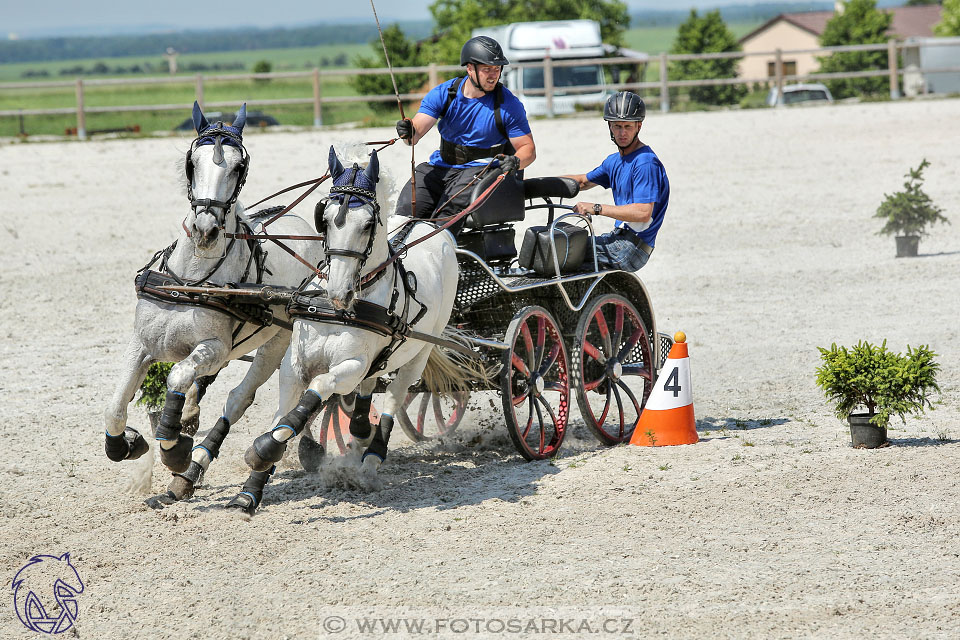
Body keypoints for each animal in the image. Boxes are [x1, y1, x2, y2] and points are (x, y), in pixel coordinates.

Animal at [102, 104, 322, 504]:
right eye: (192, 163)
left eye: (239, 167)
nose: (206, 230)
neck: (190, 279)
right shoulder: (141, 343)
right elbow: (115, 406)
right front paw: (127, 443)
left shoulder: (214, 347)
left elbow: (177, 375)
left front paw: (174, 448)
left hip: (276, 343)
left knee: (240, 399)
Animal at [225, 146, 464, 516]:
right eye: (323, 217)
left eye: (367, 224)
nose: (339, 291)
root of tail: (428, 225)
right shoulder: (293, 365)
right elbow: (283, 416)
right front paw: (251, 490)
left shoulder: (349, 365)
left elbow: (318, 390)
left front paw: (263, 449)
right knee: (370, 383)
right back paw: (361, 428)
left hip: (419, 353)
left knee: (394, 398)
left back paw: (371, 460)